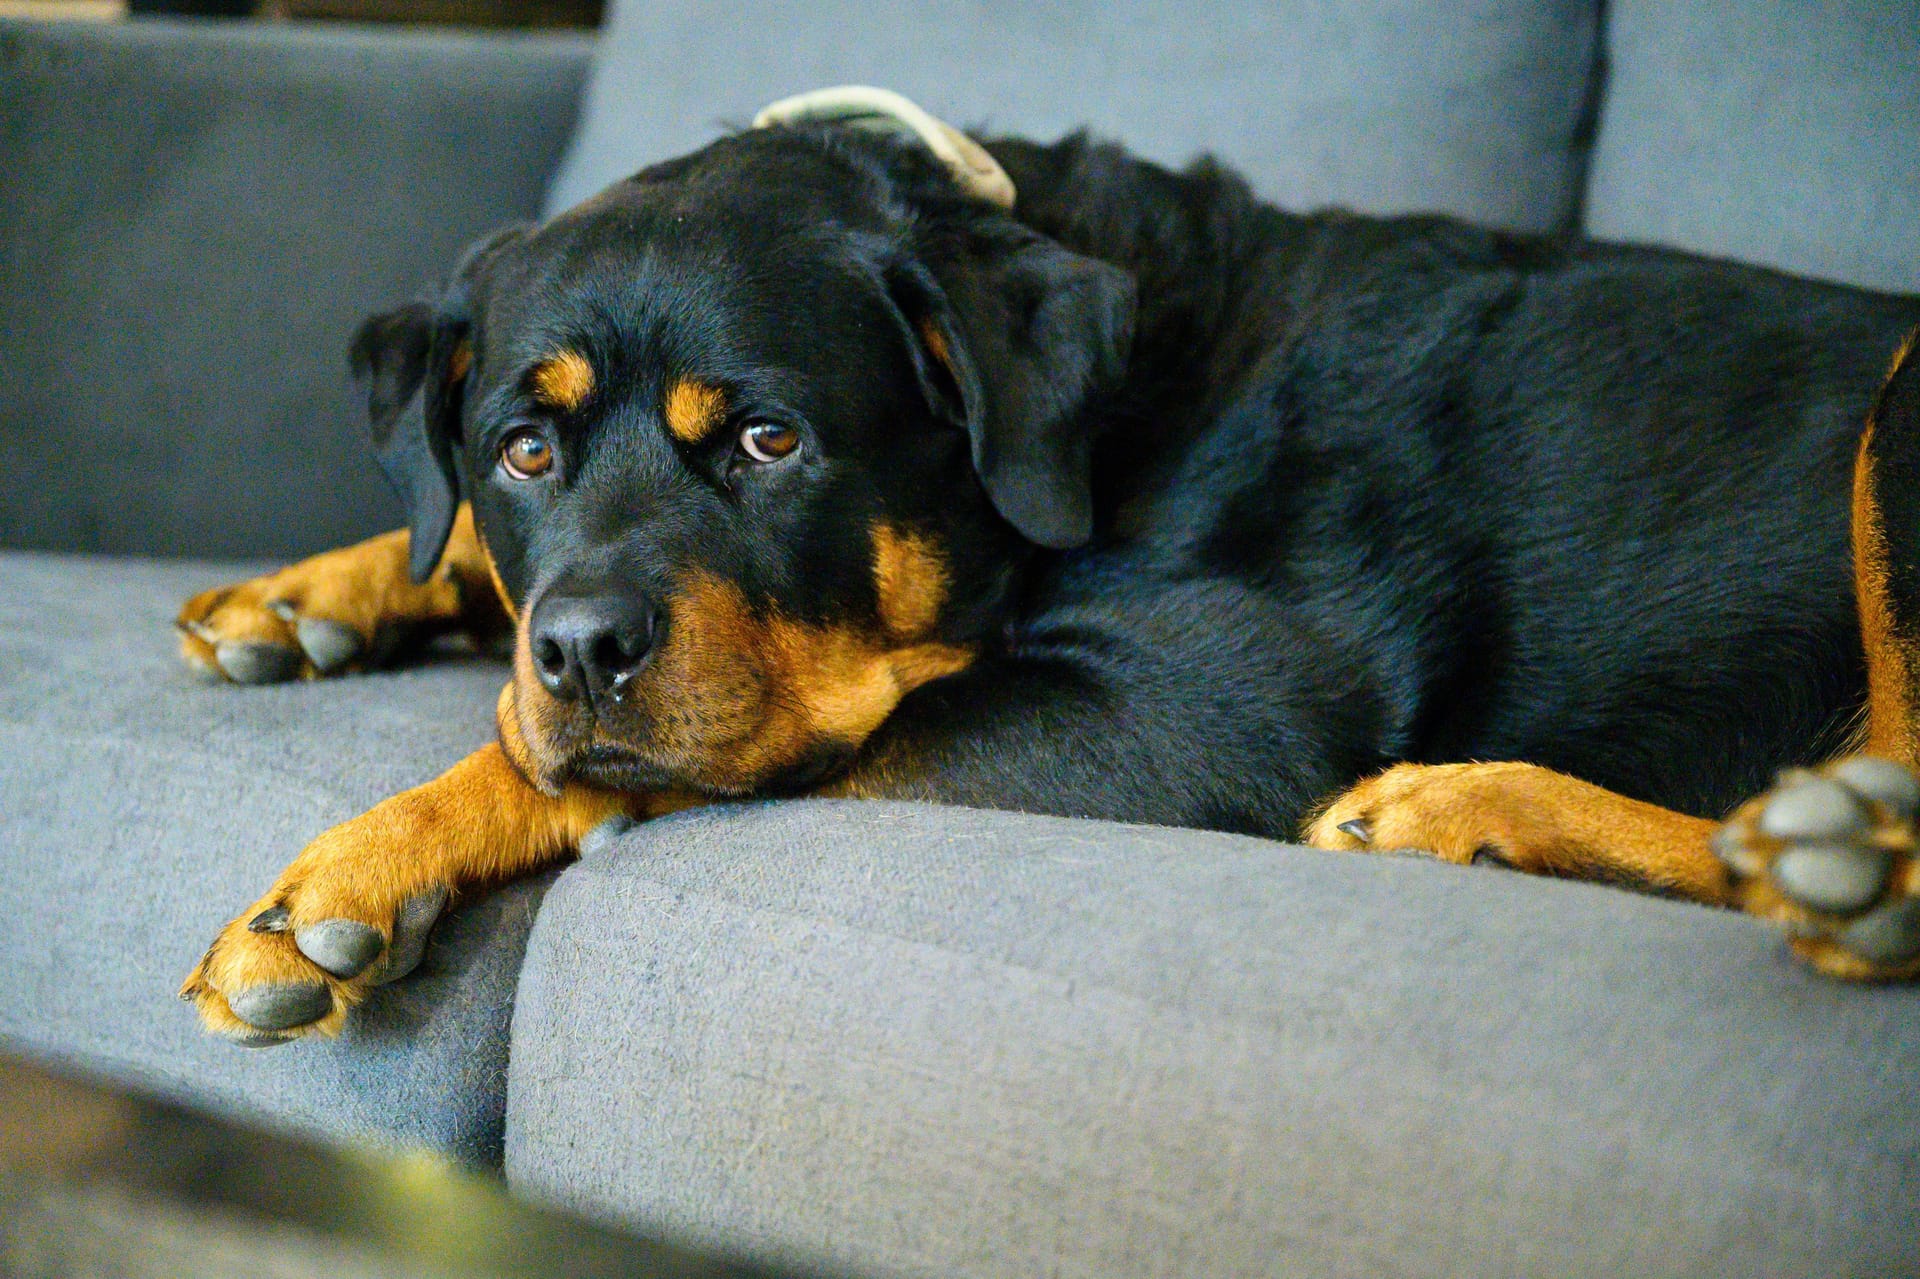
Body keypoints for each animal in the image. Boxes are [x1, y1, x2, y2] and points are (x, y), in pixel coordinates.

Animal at [176, 87, 1920, 1037]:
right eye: (521, 451)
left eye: (770, 443)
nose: (586, 647)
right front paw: (314, 591)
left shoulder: (1185, 718)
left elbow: (697, 762)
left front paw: (350, 869)